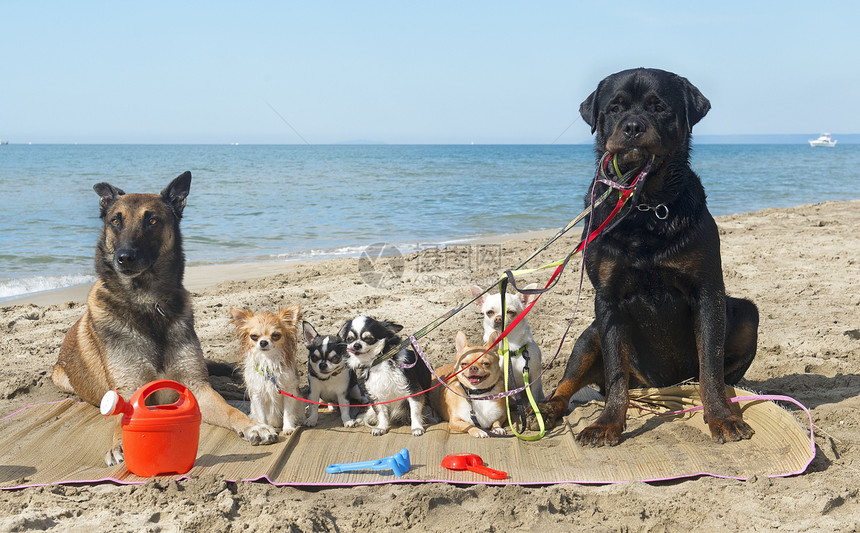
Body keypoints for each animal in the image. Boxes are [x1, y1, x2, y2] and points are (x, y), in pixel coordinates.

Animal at [52, 172, 278, 464]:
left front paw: (253, 425)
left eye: (152, 221)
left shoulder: (197, 387)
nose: (124, 258)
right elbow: (121, 418)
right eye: (116, 221)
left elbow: (229, 410)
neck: (147, 303)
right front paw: (119, 444)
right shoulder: (129, 389)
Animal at [532, 69, 760, 444]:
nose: (633, 126)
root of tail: (654, 389)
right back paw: (547, 409)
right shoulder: (607, 300)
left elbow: (711, 368)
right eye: (614, 108)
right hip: (589, 335)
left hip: (746, 315)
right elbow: (616, 373)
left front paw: (721, 417)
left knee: (716, 373)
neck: (646, 208)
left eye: (659, 106)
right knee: (570, 382)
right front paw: (607, 423)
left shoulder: (707, 292)